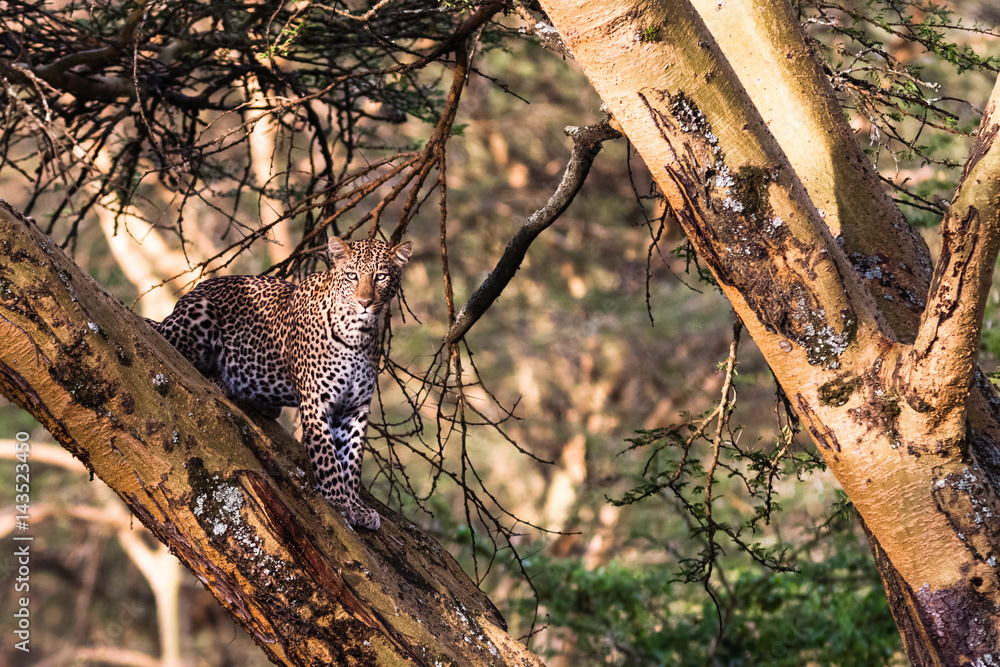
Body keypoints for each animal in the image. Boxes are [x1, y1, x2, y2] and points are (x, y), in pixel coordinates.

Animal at [152, 237, 412, 530]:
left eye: (381, 276)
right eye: (352, 276)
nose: (365, 302)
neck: (358, 334)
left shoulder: (355, 409)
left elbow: (351, 462)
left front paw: (356, 505)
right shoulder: (316, 401)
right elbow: (327, 458)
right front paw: (339, 502)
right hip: (198, 315)